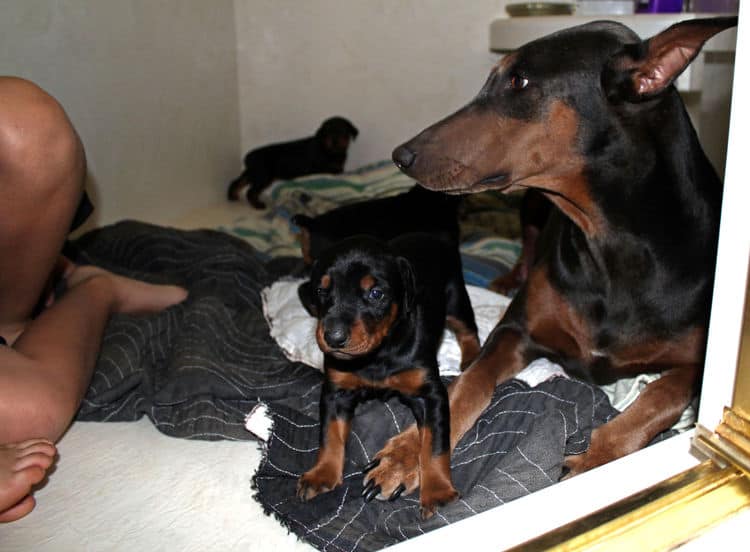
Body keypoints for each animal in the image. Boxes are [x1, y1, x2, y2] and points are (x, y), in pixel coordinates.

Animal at [226, 116, 358, 209]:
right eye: (327, 132)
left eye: (343, 130)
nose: (334, 140)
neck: (329, 150)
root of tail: (248, 156)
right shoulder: (325, 171)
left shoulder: (337, 170)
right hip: (263, 176)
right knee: (250, 191)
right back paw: (257, 205)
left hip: (254, 173)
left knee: (237, 182)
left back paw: (232, 196)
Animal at [296, 233, 482, 516]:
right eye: (321, 291)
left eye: (376, 293)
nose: (333, 338)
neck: (378, 353)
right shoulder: (336, 391)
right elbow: (330, 435)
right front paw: (322, 474)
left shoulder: (431, 395)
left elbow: (435, 446)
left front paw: (437, 492)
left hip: (456, 297)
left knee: (467, 329)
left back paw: (472, 357)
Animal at [364, 17, 740, 500]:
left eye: (519, 82)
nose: (401, 155)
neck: (609, 242)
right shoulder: (516, 329)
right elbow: (470, 380)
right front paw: (409, 454)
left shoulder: (698, 359)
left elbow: (660, 396)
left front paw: (597, 458)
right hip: (529, 205)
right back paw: (507, 277)